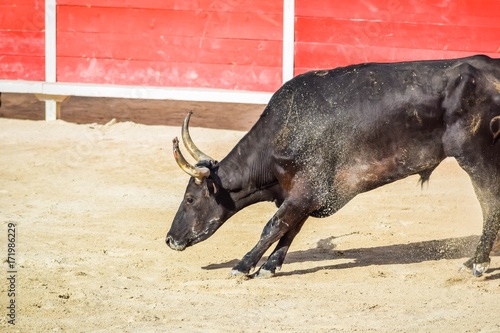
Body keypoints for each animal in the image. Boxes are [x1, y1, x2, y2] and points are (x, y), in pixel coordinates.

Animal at [166, 55, 500, 278]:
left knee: (490, 203)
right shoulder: (305, 194)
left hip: (475, 155)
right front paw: (270, 266)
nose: (170, 239)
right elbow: (289, 228)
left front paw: (243, 265)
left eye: (190, 199)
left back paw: (476, 262)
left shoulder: (307, 189)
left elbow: (274, 225)